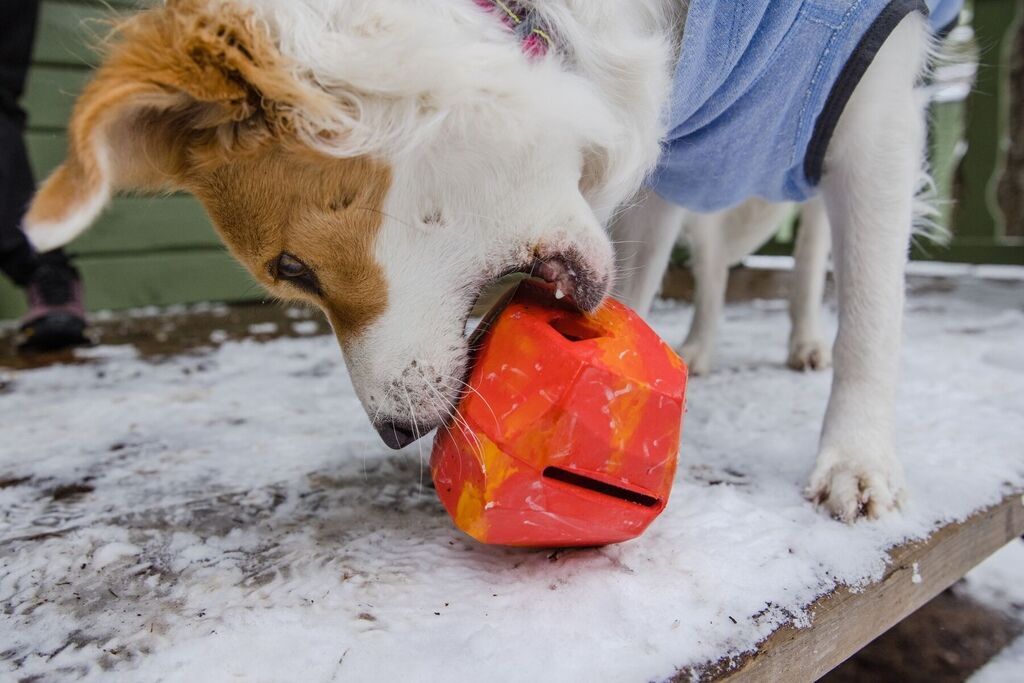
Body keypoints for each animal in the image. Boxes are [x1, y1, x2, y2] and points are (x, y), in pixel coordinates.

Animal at [24, 1, 937, 524]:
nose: (394, 434)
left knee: (812, 252)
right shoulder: (660, 176)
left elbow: (873, 315)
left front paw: (857, 459)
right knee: (712, 267)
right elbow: (643, 279)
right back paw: (706, 346)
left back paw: (803, 342)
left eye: (293, 267)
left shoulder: (876, 114)